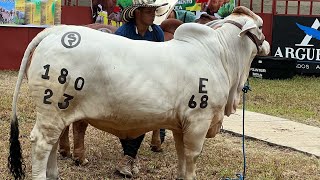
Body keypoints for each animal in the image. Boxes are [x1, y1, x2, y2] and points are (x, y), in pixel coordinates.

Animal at [7, 5, 268, 180]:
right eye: (261, 26)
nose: (266, 44)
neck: (222, 57)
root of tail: (54, 32)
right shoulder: (198, 122)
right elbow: (192, 157)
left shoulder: (181, 126)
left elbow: (181, 155)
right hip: (51, 109)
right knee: (42, 144)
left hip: (58, 113)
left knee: (52, 143)